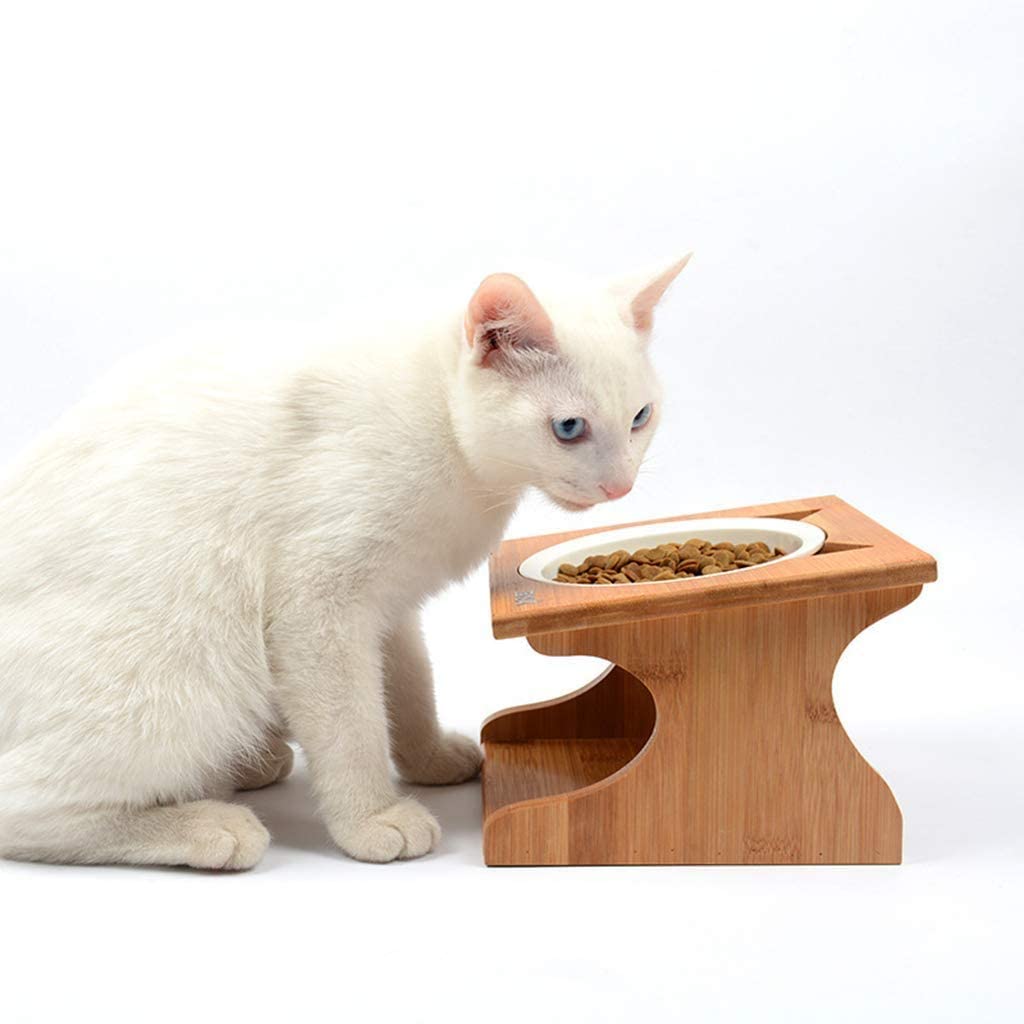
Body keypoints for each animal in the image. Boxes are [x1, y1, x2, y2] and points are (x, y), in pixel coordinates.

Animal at [0, 258, 692, 872]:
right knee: (22, 806)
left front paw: (429, 758)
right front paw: (372, 818)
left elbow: (409, 687)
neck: (448, 440)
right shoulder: (317, 608)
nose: (620, 487)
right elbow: (351, 727)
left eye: (640, 417)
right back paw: (208, 826)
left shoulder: (393, 604)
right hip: (189, 674)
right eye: (569, 427)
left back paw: (249, 766)